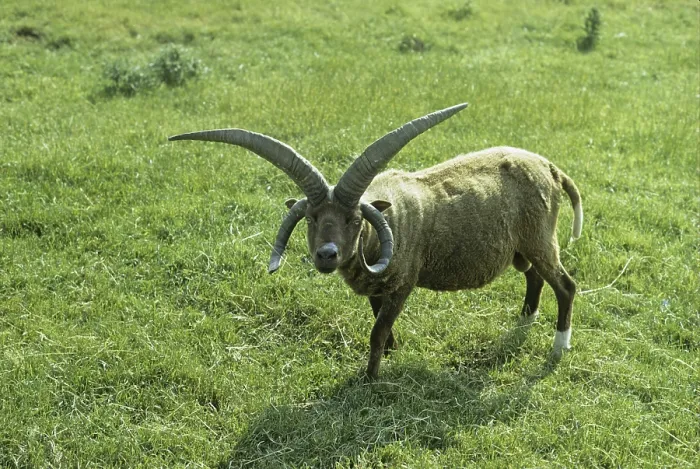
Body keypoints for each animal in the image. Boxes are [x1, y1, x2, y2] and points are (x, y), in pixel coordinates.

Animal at [169, 103, 583, 380]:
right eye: (313, 218)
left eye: (354, 220)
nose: (327, 254)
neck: (390, 217)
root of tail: (551, 169)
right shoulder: (375, 288)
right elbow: (378, 324)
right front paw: (392, 353)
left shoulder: (402, 285)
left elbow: (377, 330)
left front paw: (370, 378)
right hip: (522, 248)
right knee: (534, 277)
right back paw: (525, 320)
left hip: (541, 240)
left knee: (565, 284)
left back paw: (559, 347)